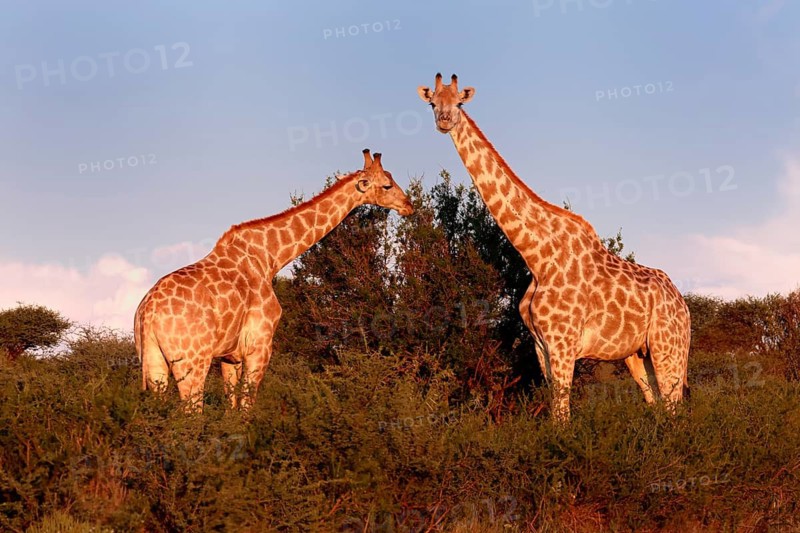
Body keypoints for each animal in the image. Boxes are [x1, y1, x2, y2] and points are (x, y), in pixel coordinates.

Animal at [134, 149, 414, 412]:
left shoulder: (230, 356)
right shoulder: (260, 346)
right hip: (192, 360)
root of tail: (148, 312)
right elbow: (246, 408)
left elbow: (231, 408)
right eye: (387, 185)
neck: (270, 258)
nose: (408, 205)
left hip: (154, 362)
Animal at [417, 73, 691, 421]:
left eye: (460, 103)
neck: (537, 256)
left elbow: (562, 416)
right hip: (637, 354)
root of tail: (683, 305)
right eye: (432, 103)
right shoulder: (541, 346)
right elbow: (553, 411)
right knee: (656, 404)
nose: (444, 120)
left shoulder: (563, 343)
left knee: (674, 407)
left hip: (669, 346)